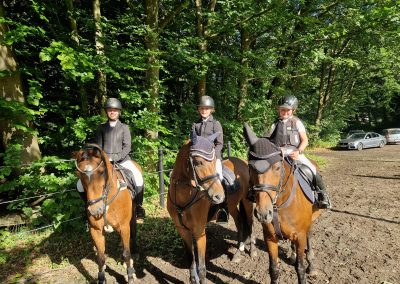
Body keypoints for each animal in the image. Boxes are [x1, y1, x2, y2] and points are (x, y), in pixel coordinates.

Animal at [74, 144, 138, 284]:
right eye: (79, 174)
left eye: (101, 172)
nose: (94, 210)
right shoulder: (96, 230)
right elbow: (101, 257)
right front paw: (102, 278)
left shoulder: (124, 226)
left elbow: (126, 253)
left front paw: (130, 276)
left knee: (134, 230)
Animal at [167, 131, 255, 284]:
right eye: (198, 162)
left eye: (214, 162)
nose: (219, 196)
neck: (183, 199)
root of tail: (242, 162)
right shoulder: (182, 230)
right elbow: (191, 260)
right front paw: (193, 279)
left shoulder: (199, 232)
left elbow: (202, 268)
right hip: (233, 207)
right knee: (239, 223)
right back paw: (238, 252)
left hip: (247, 202)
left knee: (249, 224)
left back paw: (252, 251)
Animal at [242, 123, 324, 284]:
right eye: (250, 167)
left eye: (278, 167)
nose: (263, 213)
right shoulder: (270, 237)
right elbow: (273, 269)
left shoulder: (300, 236)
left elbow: (300, 268)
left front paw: (305, 266)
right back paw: (292, 255)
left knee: (309, 236)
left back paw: (311, 265)